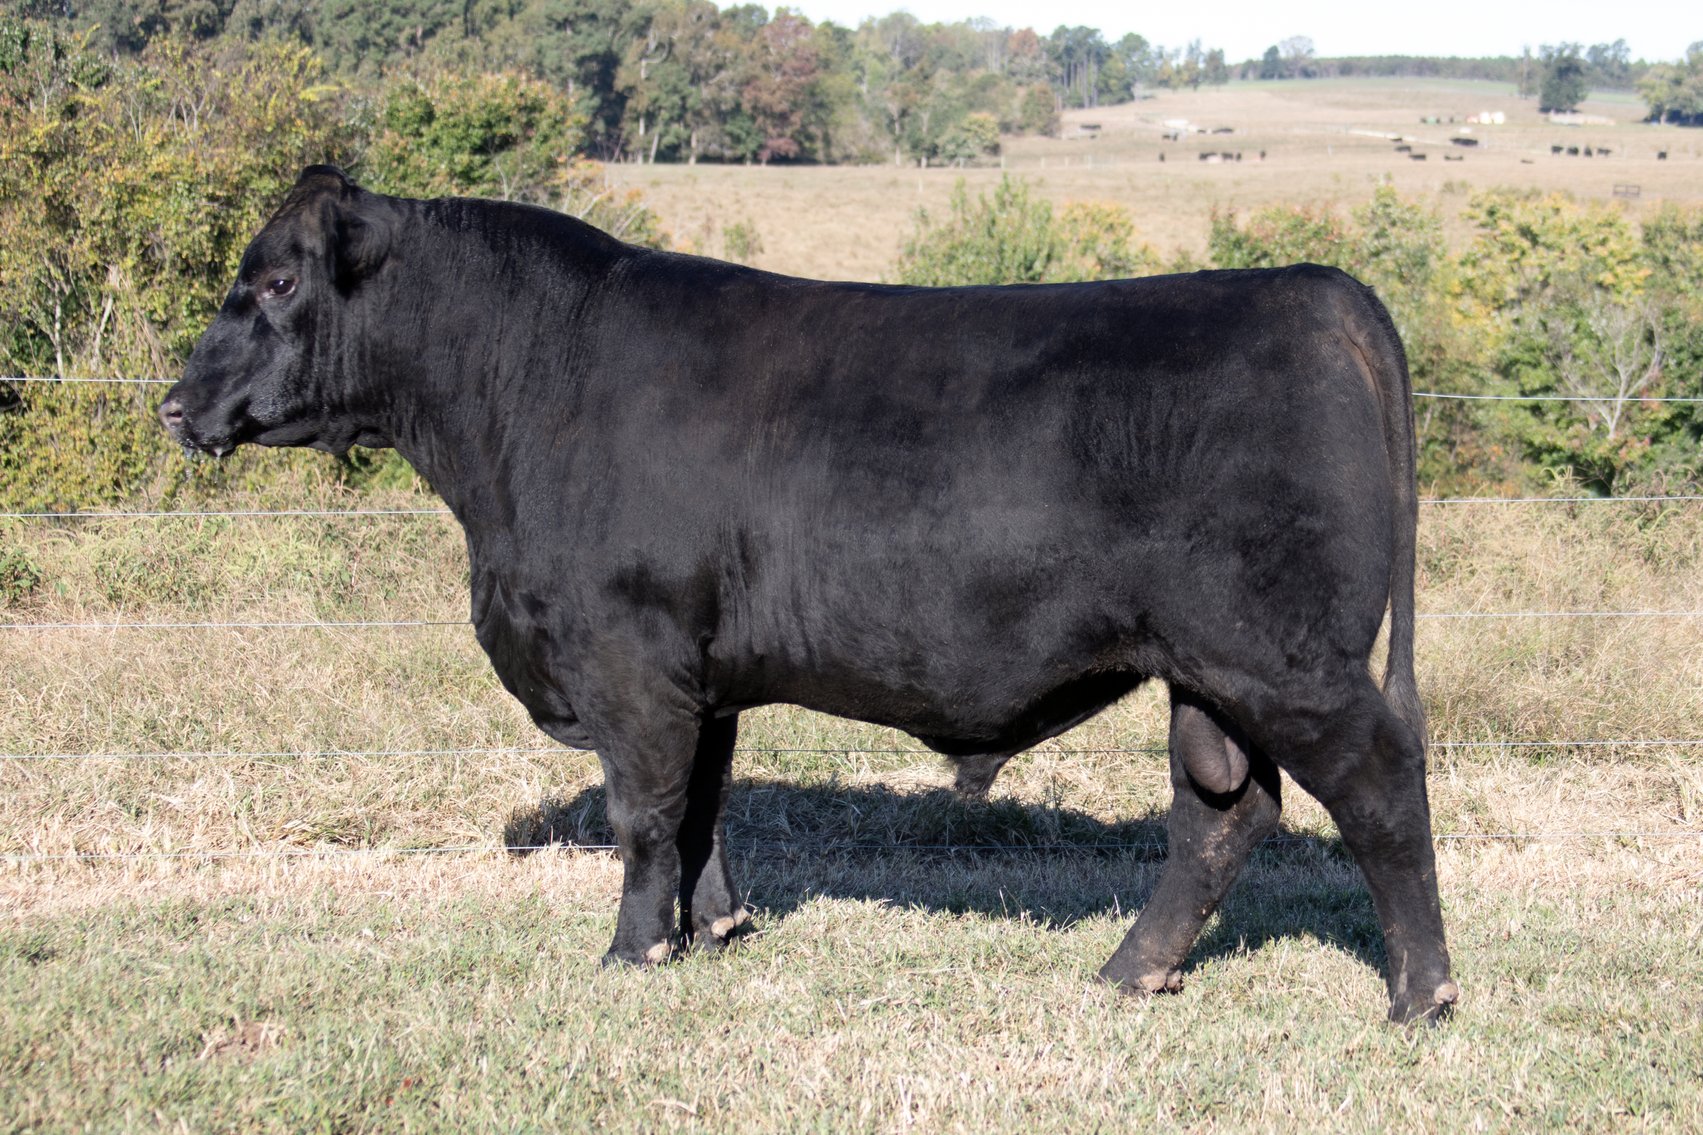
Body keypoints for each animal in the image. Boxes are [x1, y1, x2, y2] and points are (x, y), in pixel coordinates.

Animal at [160, 166, 1457, 1023]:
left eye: (274, 283)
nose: (174, 405)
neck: (519, 399)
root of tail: (1314, 288)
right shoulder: (699, 672)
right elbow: (699, 806)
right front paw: (713, 928)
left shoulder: (626, 655)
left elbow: (642, 811)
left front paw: (630, 955)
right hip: (1206, 670)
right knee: (1221, 810)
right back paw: (1130, 971)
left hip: (1285, 657)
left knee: (1378, 783)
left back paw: (1418, 996)